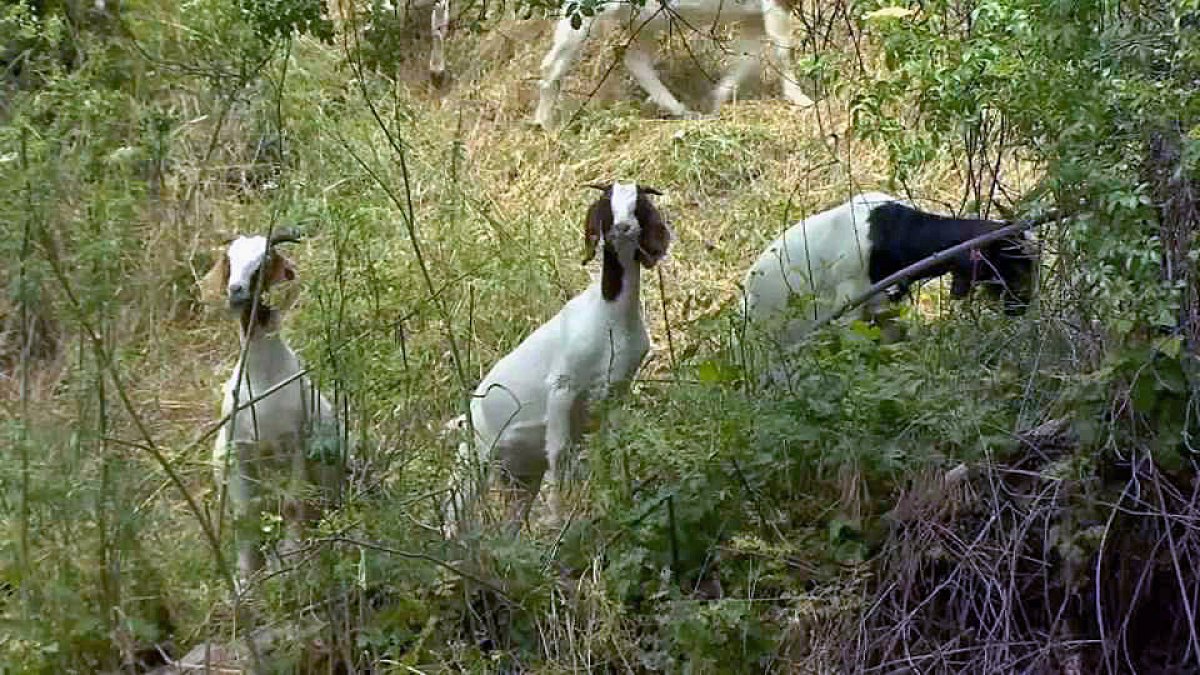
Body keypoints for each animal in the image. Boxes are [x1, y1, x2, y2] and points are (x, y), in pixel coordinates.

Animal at [201, 233, 345, 583]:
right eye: (229, 261)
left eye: (264, 262)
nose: (236, 290)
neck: (263, 379)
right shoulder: (239, 452)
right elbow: (244, 517)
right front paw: (245, 578)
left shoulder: (294, 444)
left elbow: (294, 505)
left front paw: (292, 561)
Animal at [445, 181, 672, 533]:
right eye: (607, 206)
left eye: (638, 205)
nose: (623, 228)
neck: (609, 317)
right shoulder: (561, 387)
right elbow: (560, 452)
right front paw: (557, 517)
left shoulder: (615, 391)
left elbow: (612, 446)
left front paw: (616, 496)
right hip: (473, 457)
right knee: (453, 508)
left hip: (519, 474)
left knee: (513, 516)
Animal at [533, 0, 814, 129]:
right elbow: (783, 51)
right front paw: (802, 99)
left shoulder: (752, 17)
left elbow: (749, 58)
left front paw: (715, 101)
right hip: (583, 12)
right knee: (552, 63)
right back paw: (546, 127)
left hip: (643, 19)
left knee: (633, 57)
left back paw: (681, 110)